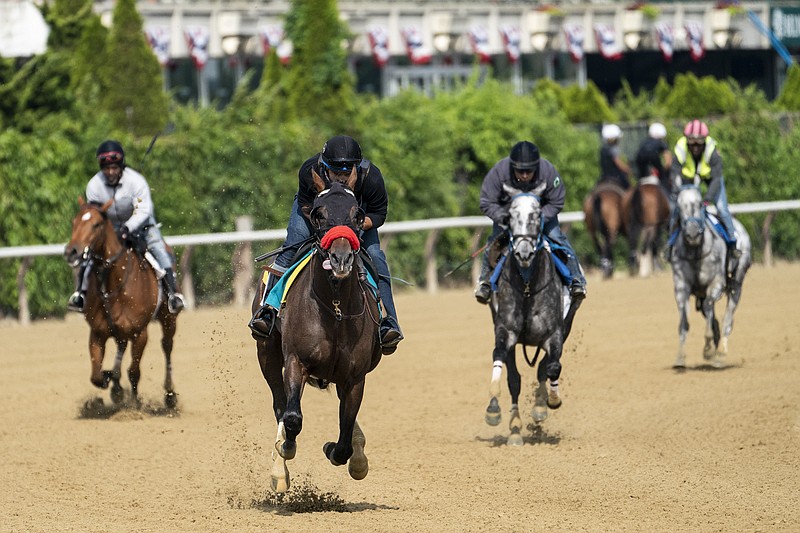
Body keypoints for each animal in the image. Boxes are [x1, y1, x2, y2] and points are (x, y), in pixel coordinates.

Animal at [62, 198, 178, 408]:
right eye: (74, 222)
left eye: (96, 224)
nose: (71, 252)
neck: (114, 283)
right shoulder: (97, 333)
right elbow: (96, 376)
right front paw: (112, 382)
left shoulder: (140, 333)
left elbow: (133, 371)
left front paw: (135, 404)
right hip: (120, 331)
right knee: (121, 347)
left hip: (168, 318)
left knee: (167, 346)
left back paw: (170, 394)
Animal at [255, 169, 382, 490]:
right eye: (318, 214)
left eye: (357, 214)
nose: (341, 258)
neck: (334, 309)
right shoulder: (295, 362)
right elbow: (292, 417)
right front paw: (285, 447)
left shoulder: (355, 377)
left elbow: (345, 436)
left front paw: (341, 453)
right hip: (267, 356)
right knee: (279, 405)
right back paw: (279, 469)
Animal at [484, 183, 584, 444]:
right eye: (511, 216)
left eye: (537, 215)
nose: (524, 252)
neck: (528, 285)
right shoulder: (505, 331)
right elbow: (507, 371)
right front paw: (499, 413)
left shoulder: (555, 334)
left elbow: (551, 368)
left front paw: (548, 402)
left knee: (544, 368)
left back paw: (540, 407)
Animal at [672, 185, 752, 368]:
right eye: (679, 206)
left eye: (700, 203)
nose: (692, 234)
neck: (696, 252)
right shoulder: (681, 287)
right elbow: (683, 321)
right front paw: (680, 357)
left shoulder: (716, 284)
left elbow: (710, 307)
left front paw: (708, 347)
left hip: (737, 282)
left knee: (728, 317)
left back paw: (720, 354)